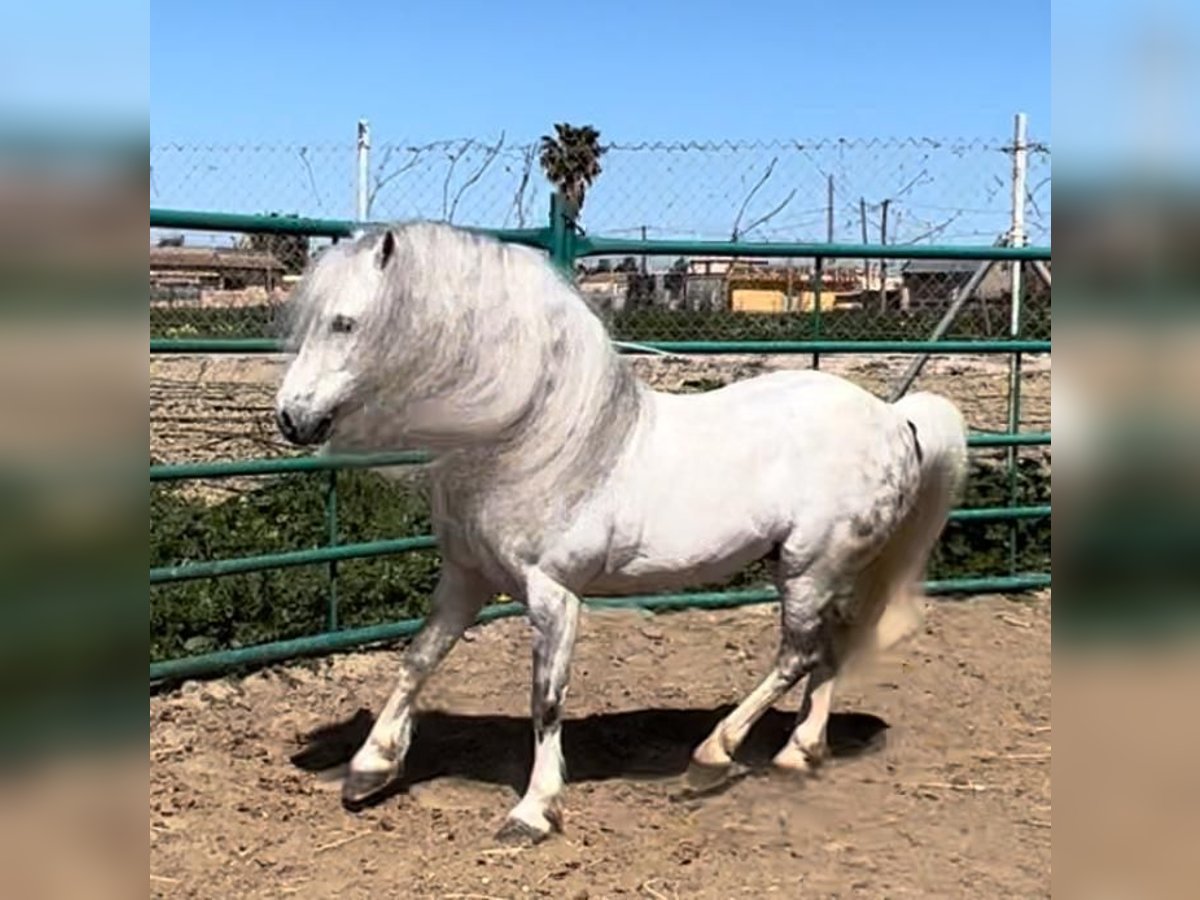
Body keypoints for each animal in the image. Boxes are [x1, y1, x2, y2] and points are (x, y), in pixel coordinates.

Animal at [275, 222, 968, 844]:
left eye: (344, 323)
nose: (291, 419)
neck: (532, 440)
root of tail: (895, 419)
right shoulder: (466, 578)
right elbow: (417, 659)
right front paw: (369, 770)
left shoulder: (554, 595)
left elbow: (546, 698)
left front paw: (533, 813)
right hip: (816, 570)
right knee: (831, 648)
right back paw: (798, 752)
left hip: (808, 567)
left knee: (796, 656)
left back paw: (713, 756)